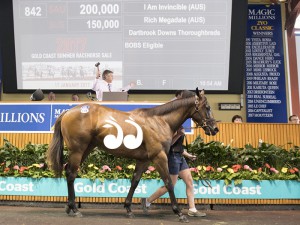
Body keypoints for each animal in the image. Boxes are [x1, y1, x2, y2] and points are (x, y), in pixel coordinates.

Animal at [48, 89, 219, 221]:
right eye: (207, 107)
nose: (215, 128)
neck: (159, 121)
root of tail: (68, 112)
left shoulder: (144, 160)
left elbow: (135, 181)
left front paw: (128, 208)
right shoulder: (159, 157)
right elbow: (168, 182)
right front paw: (179, 213)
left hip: (85, 149)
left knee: (69, 172)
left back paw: (69, 207)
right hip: (78, 150)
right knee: (71, 174)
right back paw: (75, 209)